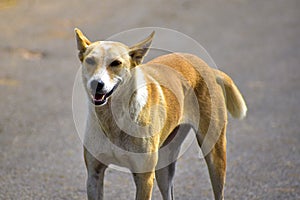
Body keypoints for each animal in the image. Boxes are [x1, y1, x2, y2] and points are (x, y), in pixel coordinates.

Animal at [74, 28, 246, 200]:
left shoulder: (144, 177)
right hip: (164, 166)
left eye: (116, 63)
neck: (114, 117)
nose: (96, 83)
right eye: (90, 61)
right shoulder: (94, 175)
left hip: (214, 154)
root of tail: (208, 68)